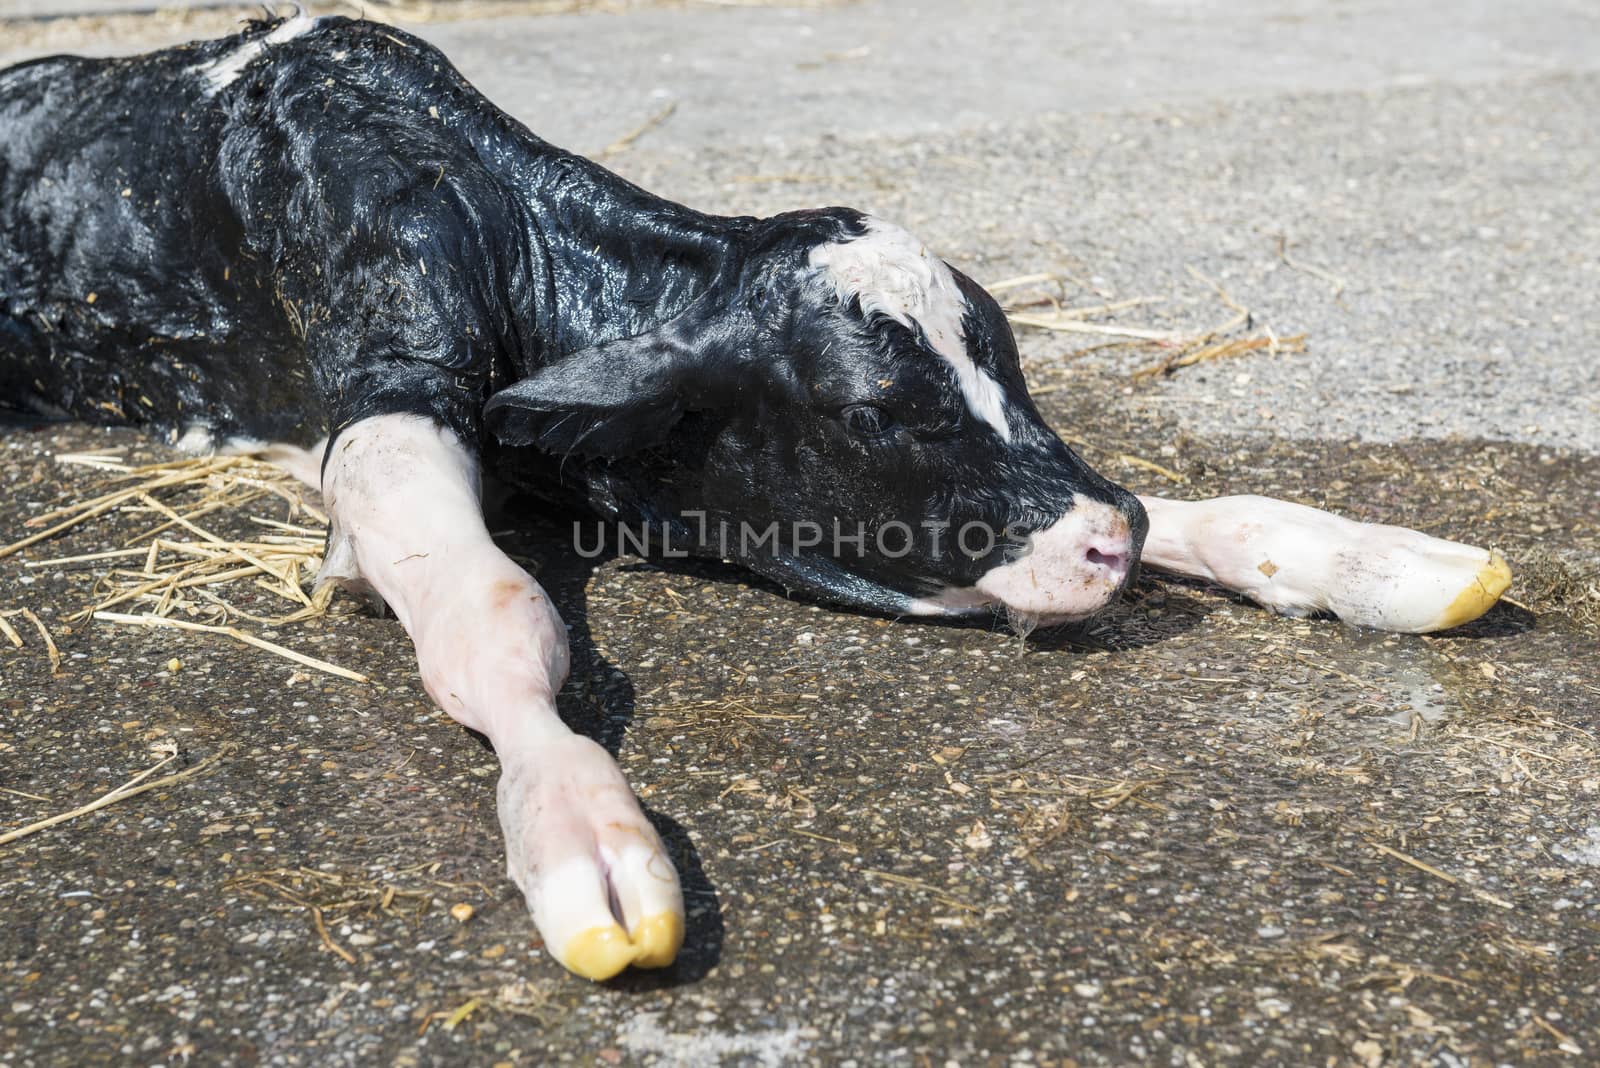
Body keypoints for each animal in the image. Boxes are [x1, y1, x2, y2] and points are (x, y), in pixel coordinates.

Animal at [0, 16, 1504, 978]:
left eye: (1009, 361)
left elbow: (1202, 505)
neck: (499, 208)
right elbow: (491, 612)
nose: (1101, 545)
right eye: (867, 410)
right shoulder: (384, 387)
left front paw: (1379, 560)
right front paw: (583, 837)